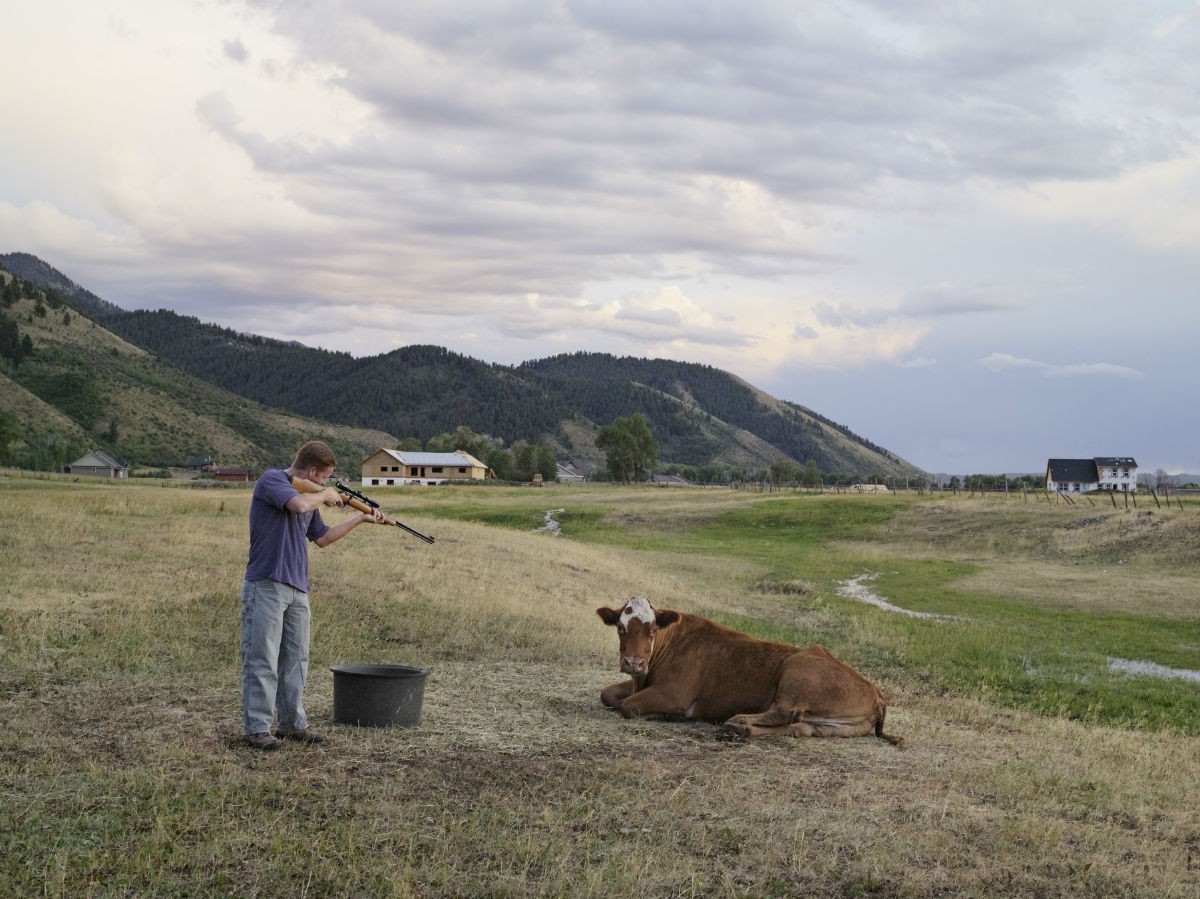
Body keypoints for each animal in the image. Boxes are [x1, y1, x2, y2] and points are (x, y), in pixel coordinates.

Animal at [595, 595, 902, 744]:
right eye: (620, 628)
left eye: (652, 629)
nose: (633, 662)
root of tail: (876, 692)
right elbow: (607, 694)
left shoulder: (675, 694)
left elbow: (627, 706)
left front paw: (666, 715)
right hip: (830, 725)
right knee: (798, 727)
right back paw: (740, 731)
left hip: (797, 669)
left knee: (784, 711)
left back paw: (737, 721)